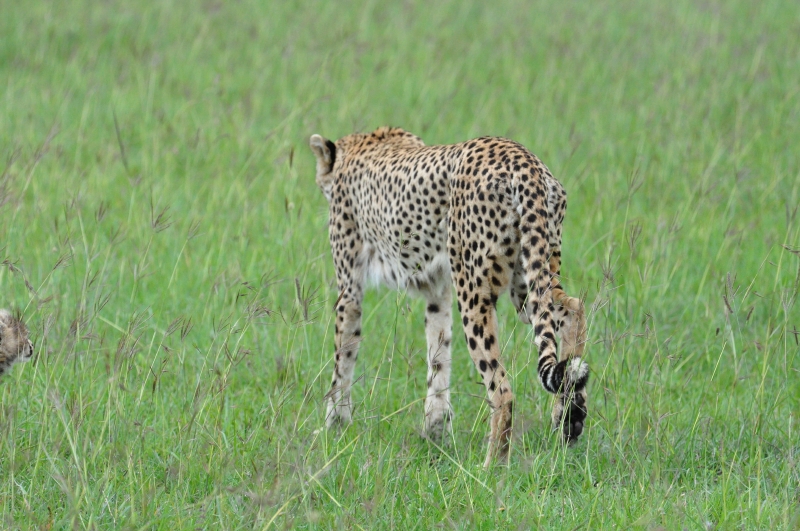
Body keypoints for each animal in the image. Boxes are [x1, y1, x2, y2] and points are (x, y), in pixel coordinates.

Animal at [309, 127, 589, 466]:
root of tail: (523, 158)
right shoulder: (437, 291)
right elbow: (438, 357)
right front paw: (435, 431)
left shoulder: (350, 290)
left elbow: (343, 358)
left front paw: (333, 426)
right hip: (529, 281)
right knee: (572, 310)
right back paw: (570, 416)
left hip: (475, 291)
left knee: (502, 390)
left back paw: (492, 467)